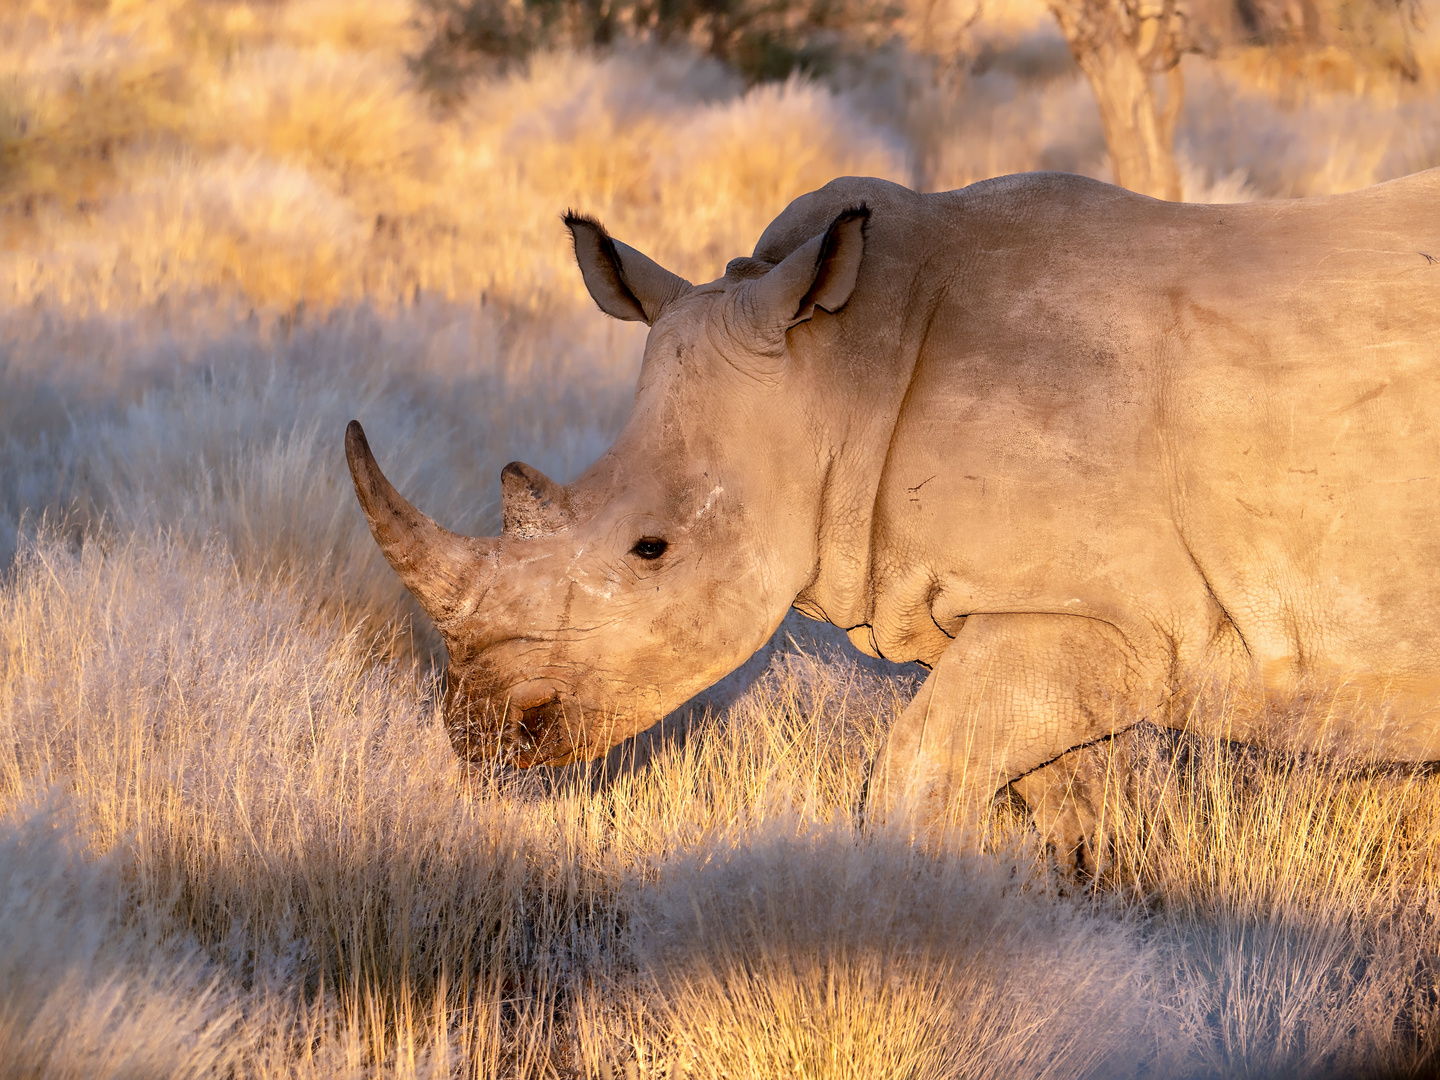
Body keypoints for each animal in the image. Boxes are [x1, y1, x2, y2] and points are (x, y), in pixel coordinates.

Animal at [348, 171, 1440, 817]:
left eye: (650, 549)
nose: (480, 732)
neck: (839, 372)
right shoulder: (1037, 616)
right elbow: (1073, 811)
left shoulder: (1098, 615)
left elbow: (916, 777)